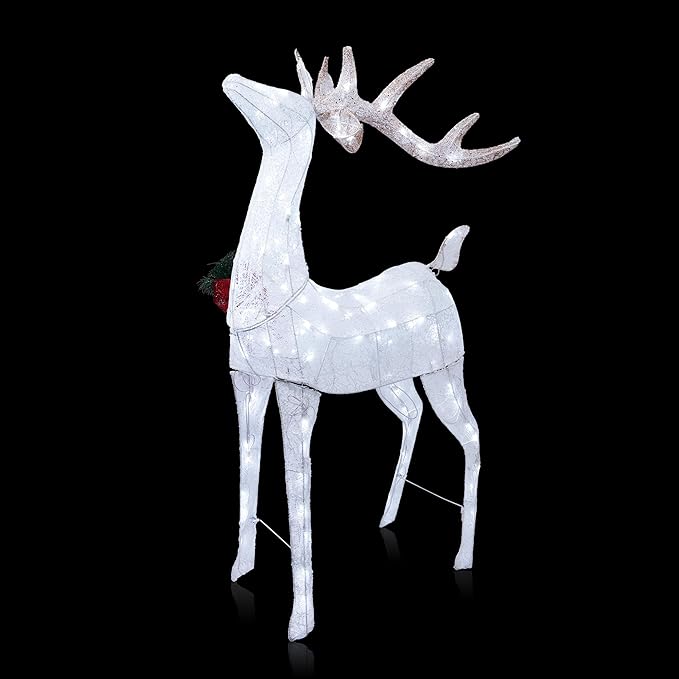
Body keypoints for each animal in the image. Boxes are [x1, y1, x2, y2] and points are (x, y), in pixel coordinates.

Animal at [222, 46, 519, 641]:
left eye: (287, 99)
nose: (235, 79)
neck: (280, 295)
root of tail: (435, 269)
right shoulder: (245, 378)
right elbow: (247, 469)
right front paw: (240, 571)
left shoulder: (299, 389)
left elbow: (297, 491)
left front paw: (300, 624)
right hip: (391, 380)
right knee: (412, 415)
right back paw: (386, 514)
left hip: (448, 368)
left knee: (473, 433)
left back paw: (463, 557)